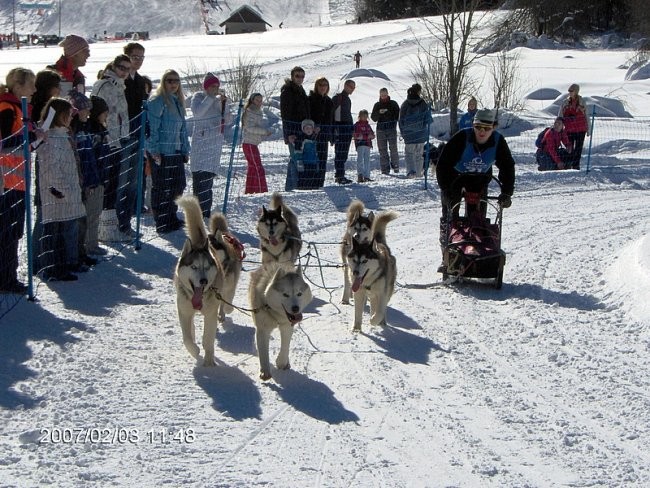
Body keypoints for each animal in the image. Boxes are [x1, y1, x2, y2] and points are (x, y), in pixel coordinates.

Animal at [175, 196, 240, 364]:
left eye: (206, 266)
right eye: (194, 267)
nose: (203, 281)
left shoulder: (211, 311)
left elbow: (208, 339)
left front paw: (209, 362)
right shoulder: (184, 311)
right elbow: (187, 338)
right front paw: (194, 351)